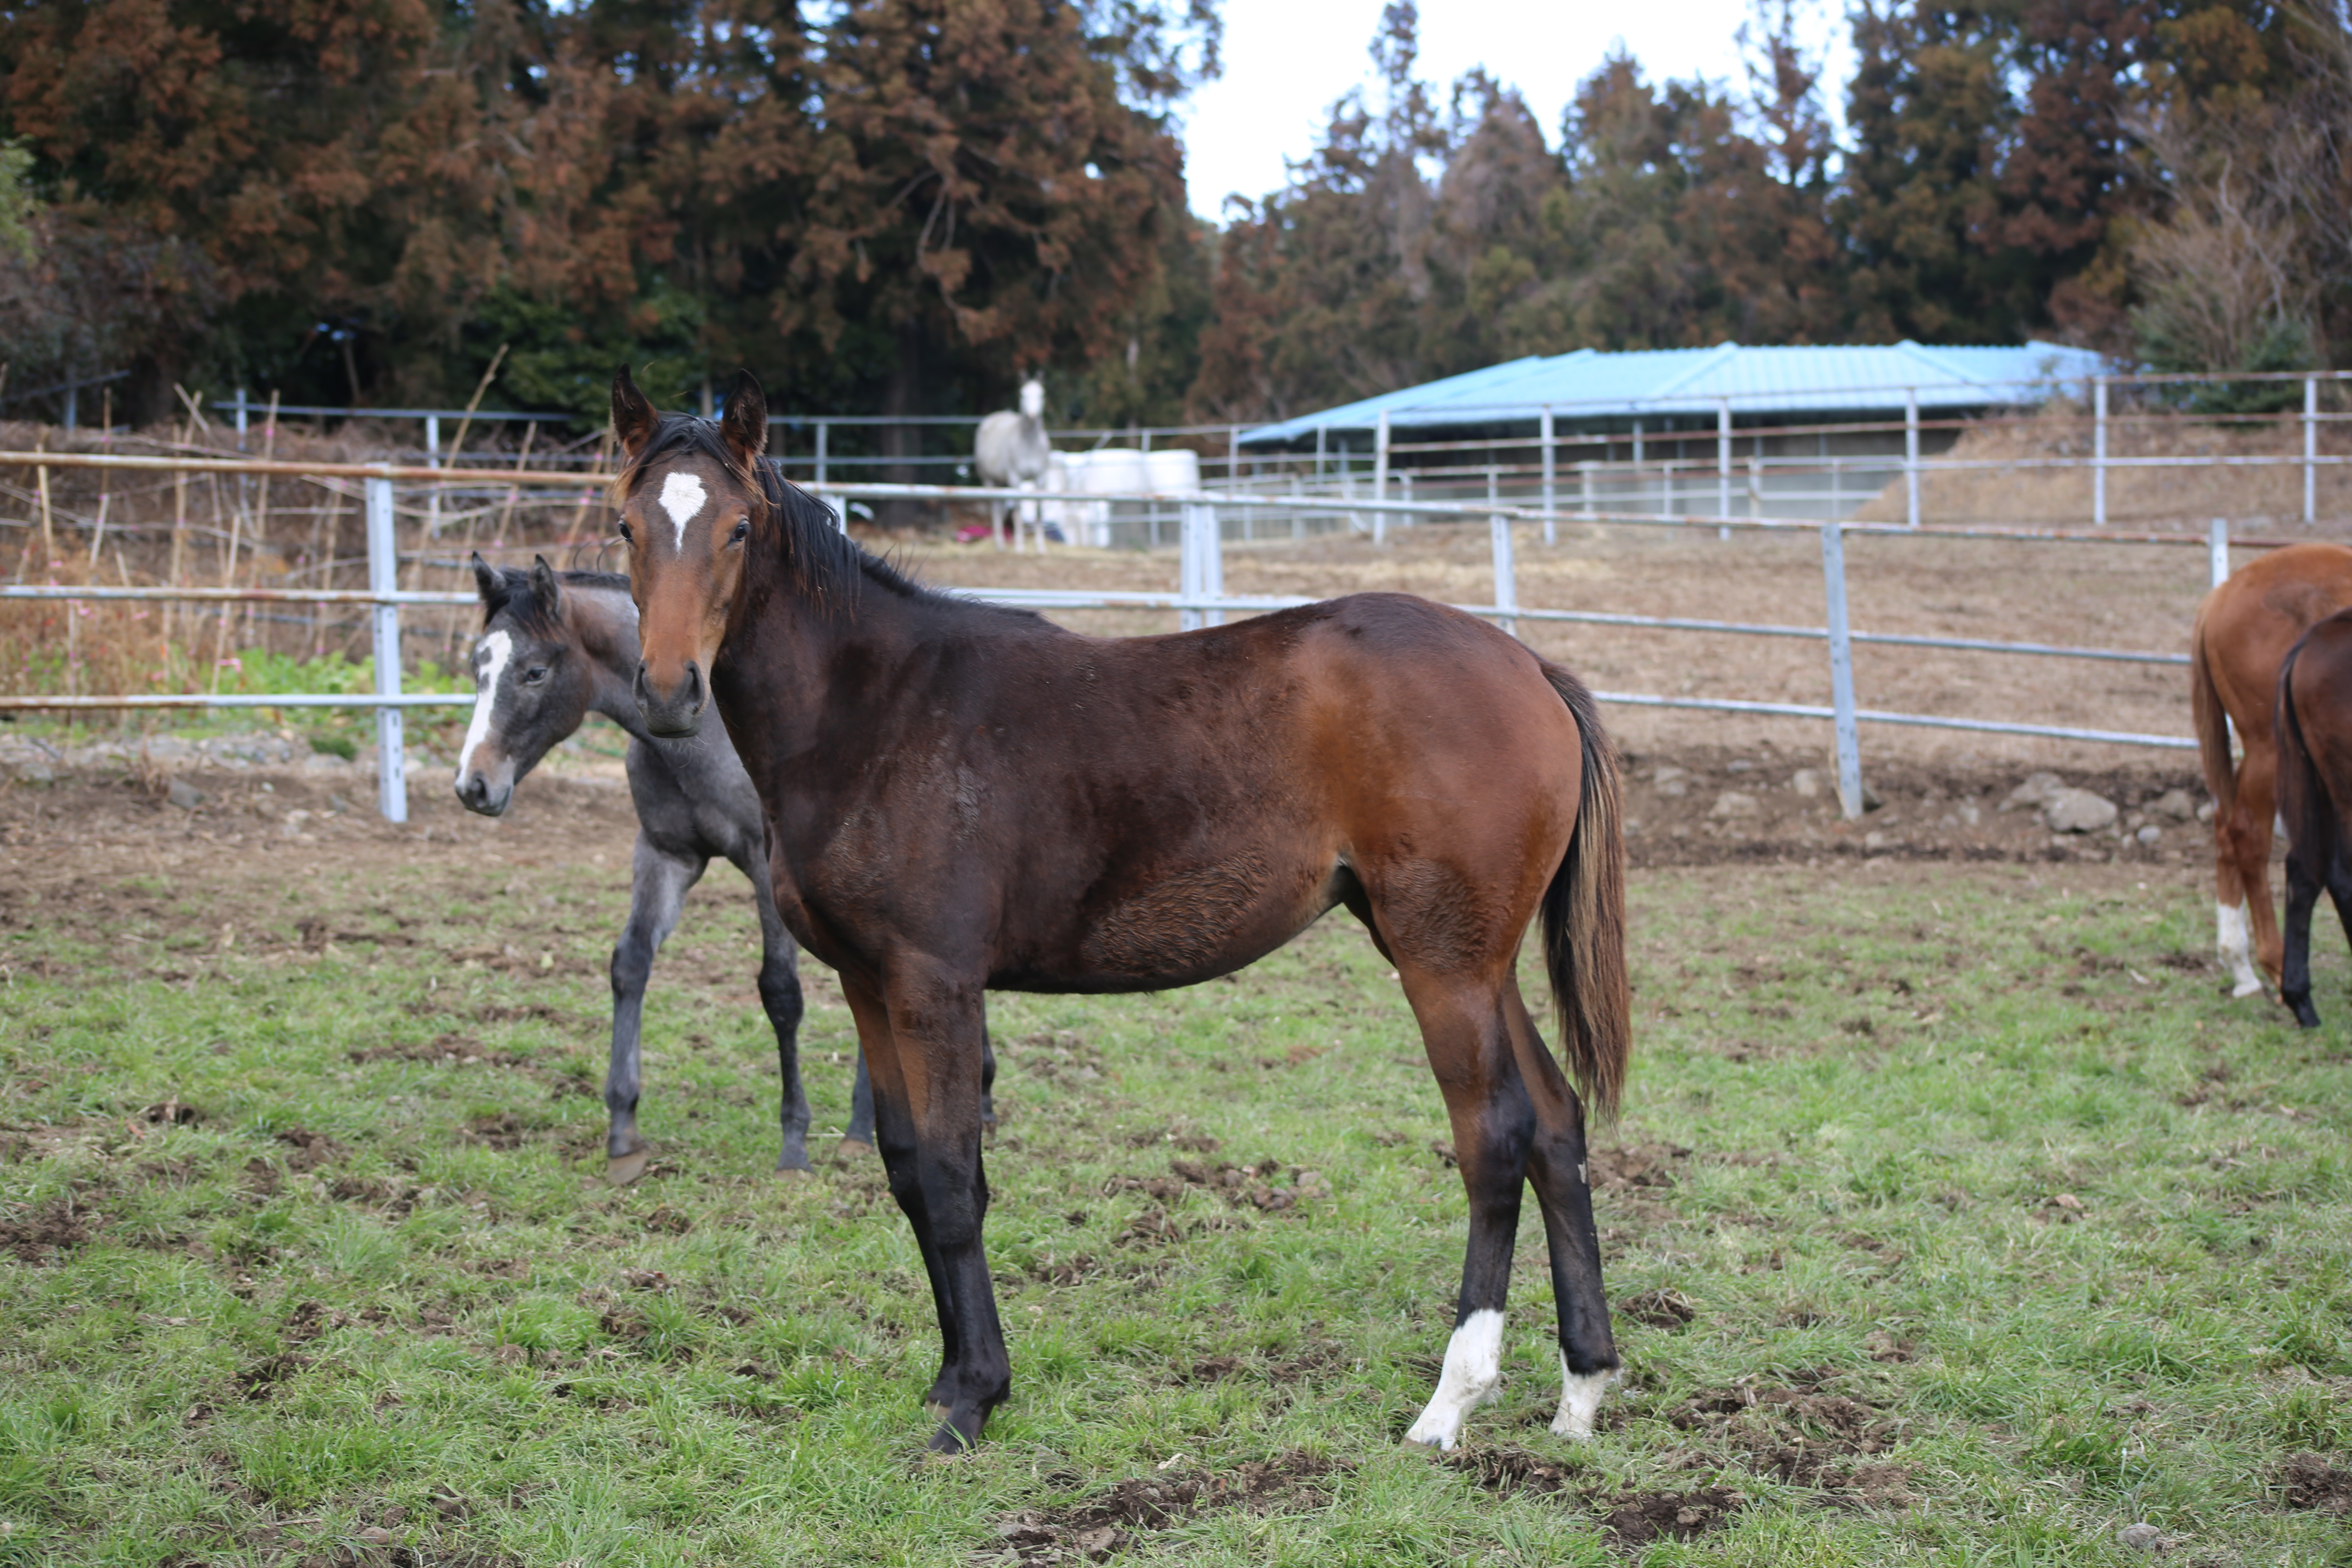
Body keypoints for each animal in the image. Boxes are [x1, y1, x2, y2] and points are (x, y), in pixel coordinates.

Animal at [447, 557, 992, 1185]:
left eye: (535, 672)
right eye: (477, 667)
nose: (473, 785)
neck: (699, 737)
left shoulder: (762, 865)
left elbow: (781, 993)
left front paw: (794, 1146)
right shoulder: (664, 855)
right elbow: (630, 964)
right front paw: (623, 1133)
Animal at [969, 376, 1054, 550]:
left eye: (1042, 394)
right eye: (1022, 394)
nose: (1032, 416)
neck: (1029, 445)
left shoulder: (1041, 478)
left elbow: (1039, 508)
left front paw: (1041, 546)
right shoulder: (1015, 478)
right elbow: (1018, 508)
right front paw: (1020, 546)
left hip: (1002, 482)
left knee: (1001, 508)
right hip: (989, 480)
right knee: (995, 507)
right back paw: (999, 543)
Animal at [2183, 541, 2352, 1001]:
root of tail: (2222, 595)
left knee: (2225, 825)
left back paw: (2239, 965)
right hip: (2272, 750)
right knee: (2248, 837)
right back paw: (2275, 964)